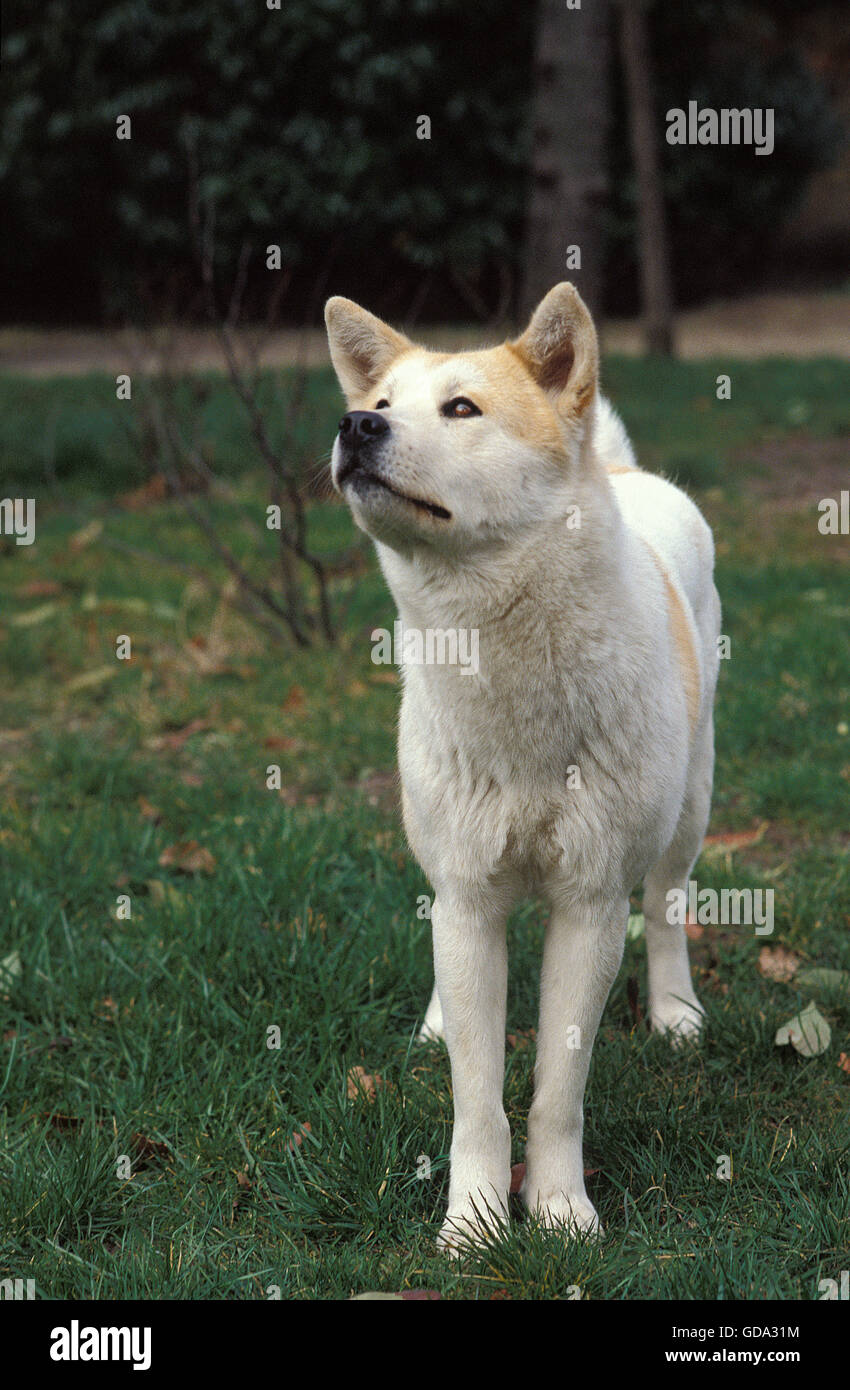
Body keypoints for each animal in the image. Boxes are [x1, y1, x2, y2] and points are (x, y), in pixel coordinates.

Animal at [325, 282, 716, 1251]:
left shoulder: (590, 903)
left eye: (462, 409)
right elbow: (477, 1097)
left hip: (688, 812)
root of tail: (619, 470)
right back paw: (435, 1020)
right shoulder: (468, 895)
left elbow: (555, 1097)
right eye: (381, 403)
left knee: (667, 908)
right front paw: (472, 1226)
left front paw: (559, 1211)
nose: (354, 424)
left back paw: (675, 1014)